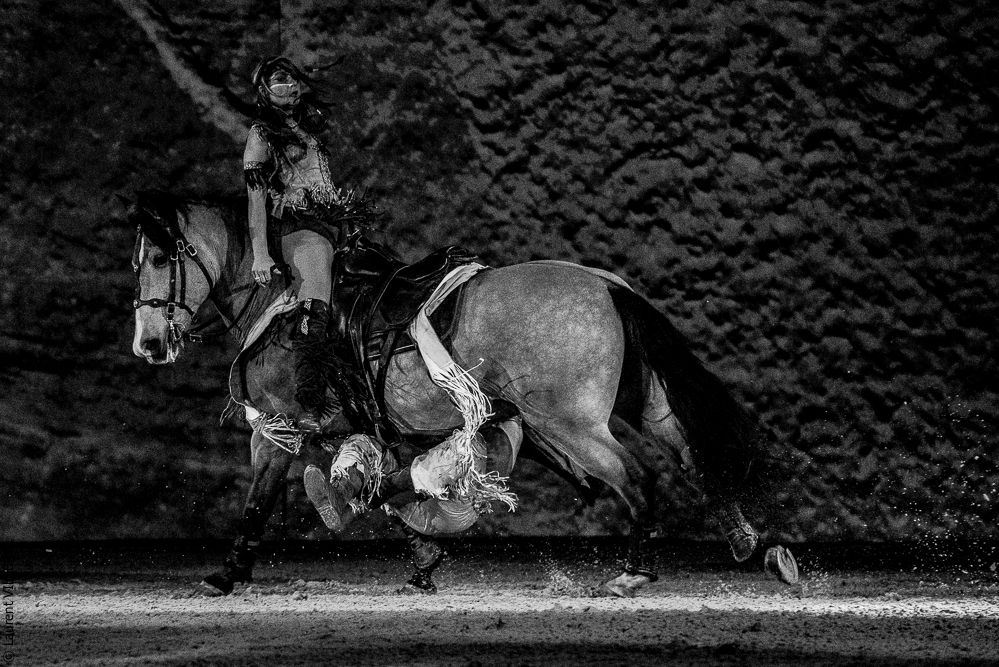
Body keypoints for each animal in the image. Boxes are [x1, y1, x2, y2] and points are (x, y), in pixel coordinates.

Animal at [124, 190, 798, 597]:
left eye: (157, 258)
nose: (149, 342)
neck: (279, 301)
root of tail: (604, 284)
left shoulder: (278, 429)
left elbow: (262, 499)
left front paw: (227, 573)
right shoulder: (360, 430)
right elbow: (386, 487)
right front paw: (423, 561)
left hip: (573, 423)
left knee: (637, 475)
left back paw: (636, 571)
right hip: (645, 407)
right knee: (690, 458)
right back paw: (754, 545)